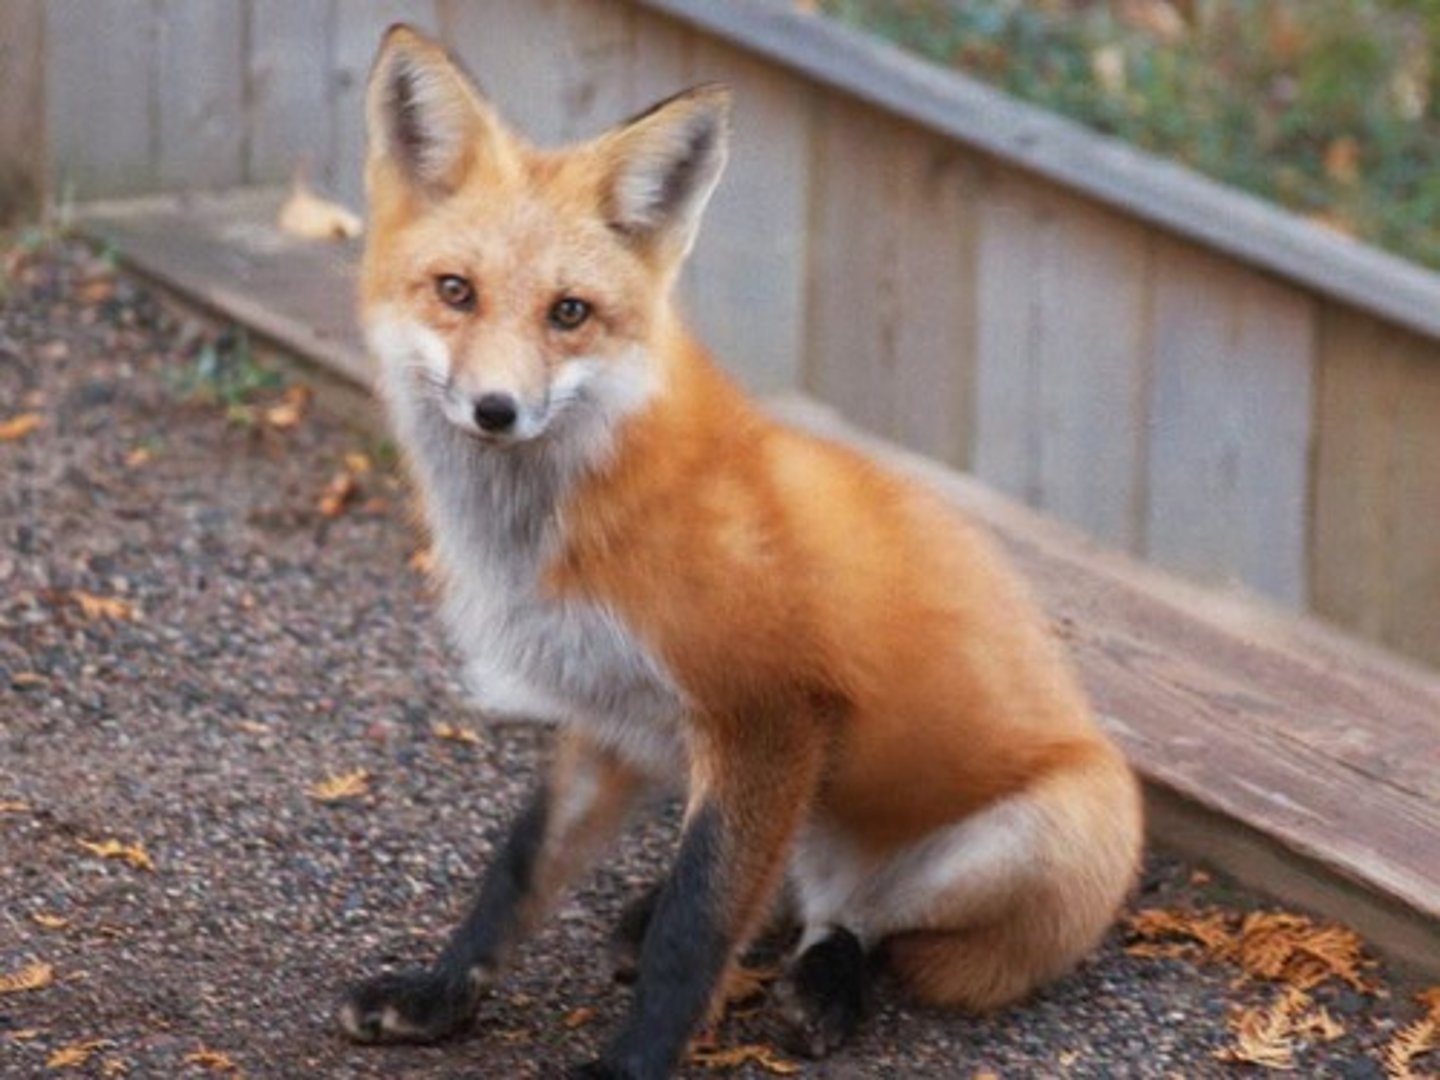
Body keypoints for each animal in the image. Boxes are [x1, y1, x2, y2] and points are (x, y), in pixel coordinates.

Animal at [338, 24, 1143, 1080]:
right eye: (454, 293)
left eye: (569, 313)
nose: (496, 410)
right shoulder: (613, 720)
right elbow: (516, 874)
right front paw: (437, 996)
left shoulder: (769, 713)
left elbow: (697, 925)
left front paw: (630, 1065)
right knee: (798, 904)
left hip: (1033, 841)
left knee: (857, 922)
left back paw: (824, 990)